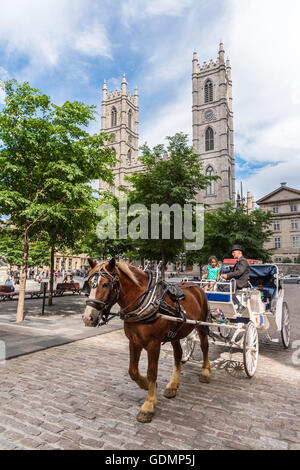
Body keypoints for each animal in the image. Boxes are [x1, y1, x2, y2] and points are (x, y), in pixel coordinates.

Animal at [81, 258, 210, 424]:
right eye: (90, 283)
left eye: (105, 284)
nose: (87, 318)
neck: (143, 301)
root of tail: (196, 285)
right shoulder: (134, 342)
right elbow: (133, 371)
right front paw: (146, 385)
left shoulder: (153, 344)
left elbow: (151, 372)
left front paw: (148, 406)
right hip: (175, 332)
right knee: (178, 354)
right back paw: (172, 385)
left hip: (201, 325)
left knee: (204, 346)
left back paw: (205, 372)